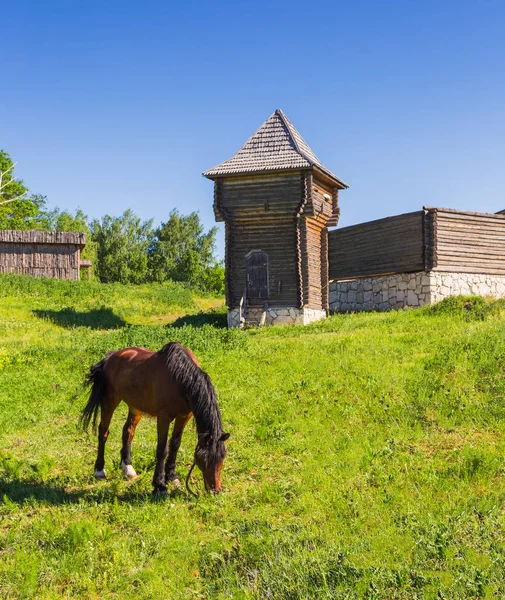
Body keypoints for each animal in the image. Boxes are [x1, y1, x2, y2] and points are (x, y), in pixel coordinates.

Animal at [79, 342, 229, 492]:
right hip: (110, 400)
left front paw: (172, 477)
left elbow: (175, 444)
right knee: (103, 432)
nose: (215, 490)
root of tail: (110, 357)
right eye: (204, 459)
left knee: (128, 431)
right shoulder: (164, 417)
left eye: (222, 457)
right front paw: (159, 485)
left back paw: (128, 468)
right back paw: (99, 471)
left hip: (135, 407)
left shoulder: (184, 416)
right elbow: (162, 449)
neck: (180, 377)